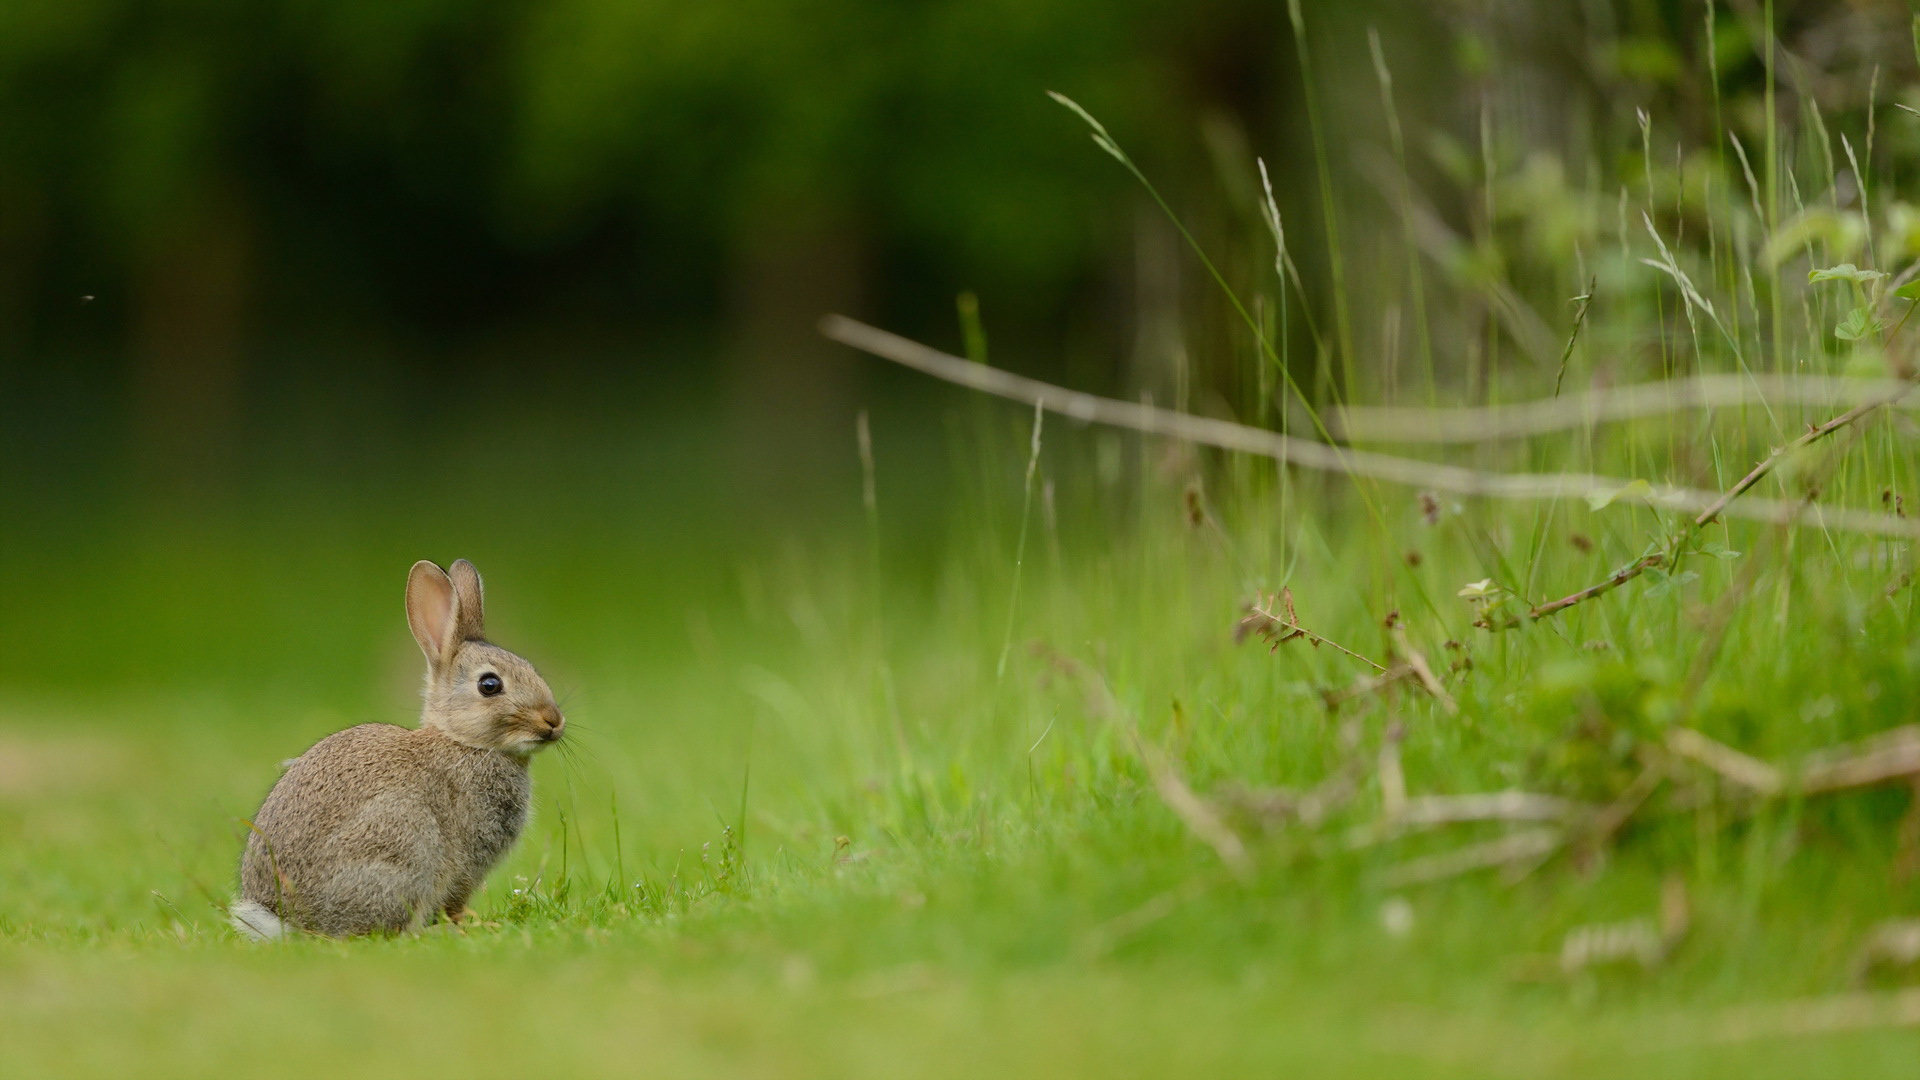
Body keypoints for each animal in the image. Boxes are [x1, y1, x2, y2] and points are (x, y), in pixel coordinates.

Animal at [231, 553, 560, 933]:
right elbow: (456, 899)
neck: (463, 742)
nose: (554, 721)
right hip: (403, 844)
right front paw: (472, 923)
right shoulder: (466, 863)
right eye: (490, 685)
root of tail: (290, 922)